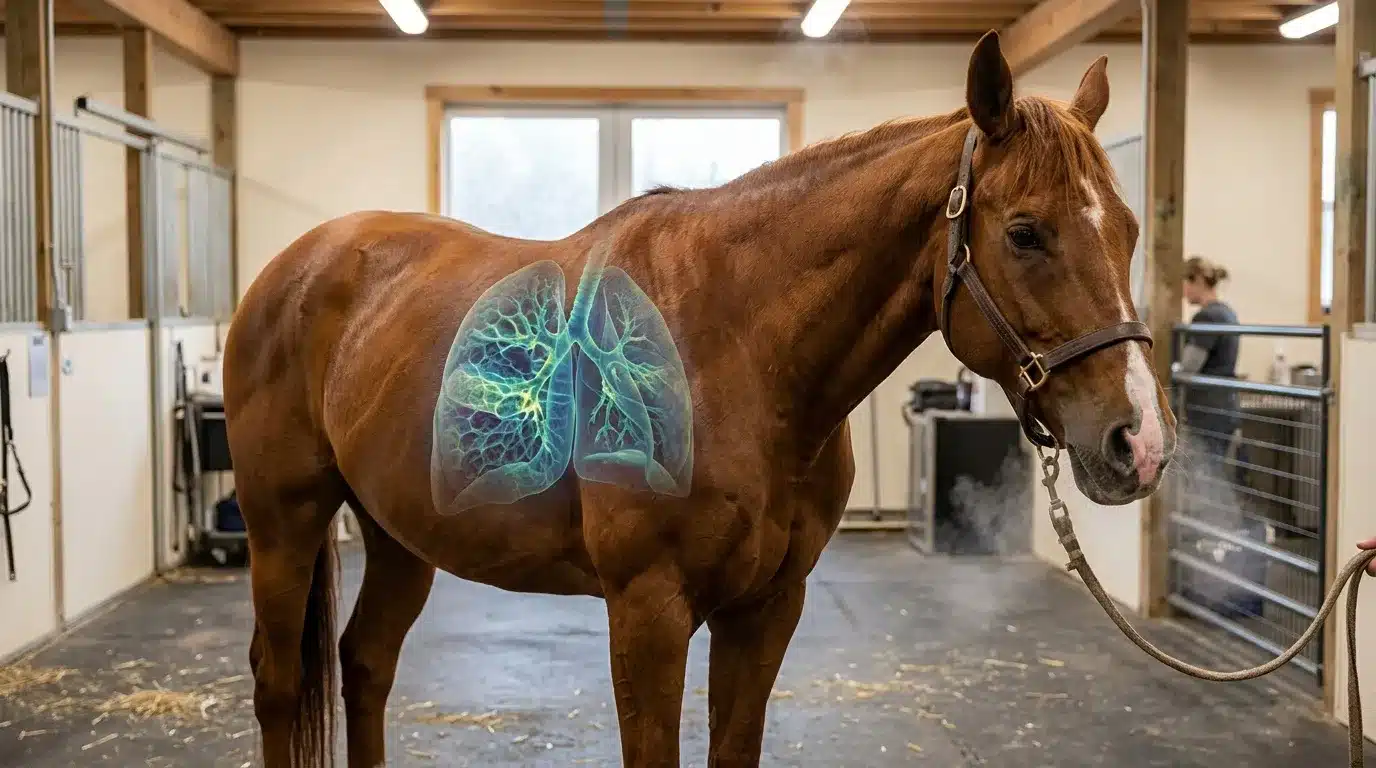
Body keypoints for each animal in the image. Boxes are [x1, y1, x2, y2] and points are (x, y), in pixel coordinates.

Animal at [222, 30, 1177, 768]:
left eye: (1131, 228)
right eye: (1024, 233)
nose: (1140, 441)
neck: (735, 350)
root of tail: (296, 266)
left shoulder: (767, 610)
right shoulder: (648, 612)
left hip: (397, 534)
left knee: (365, 664)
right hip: (284, 523)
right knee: (278, 682)